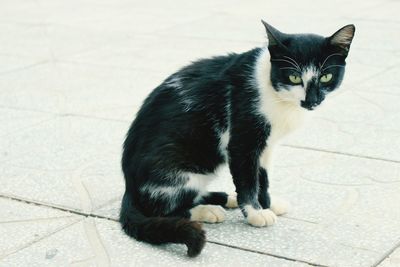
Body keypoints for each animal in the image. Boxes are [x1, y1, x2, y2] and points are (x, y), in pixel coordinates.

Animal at [118, 19, 354, 258]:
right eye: (294, 77)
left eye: (326, 76)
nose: (311, 101)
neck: (274, 92)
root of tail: (130, 185)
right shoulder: (243, 139)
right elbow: (248, 179)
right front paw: (255, 213)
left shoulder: (267, 146)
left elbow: (262, 178)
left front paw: (267, 204)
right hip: (179, 169)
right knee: (162, 208)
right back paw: (207, 210)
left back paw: (226, 198)